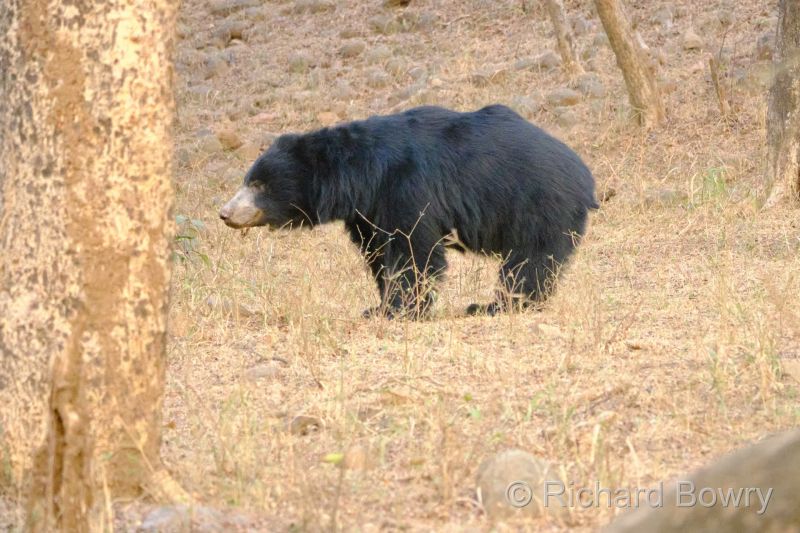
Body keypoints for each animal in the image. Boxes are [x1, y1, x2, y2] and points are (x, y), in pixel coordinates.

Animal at [219, 104, 598, 318]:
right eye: (248, 180)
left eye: (260, 186)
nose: (224, 213)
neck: (361, 175)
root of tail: (586, 178)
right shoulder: (367, 211)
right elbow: (377, 253)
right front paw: (378, 306)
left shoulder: (407, 187)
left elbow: (413, 251)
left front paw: (398, 310)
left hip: (538, 204)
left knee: (530, 260)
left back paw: (499, 305)